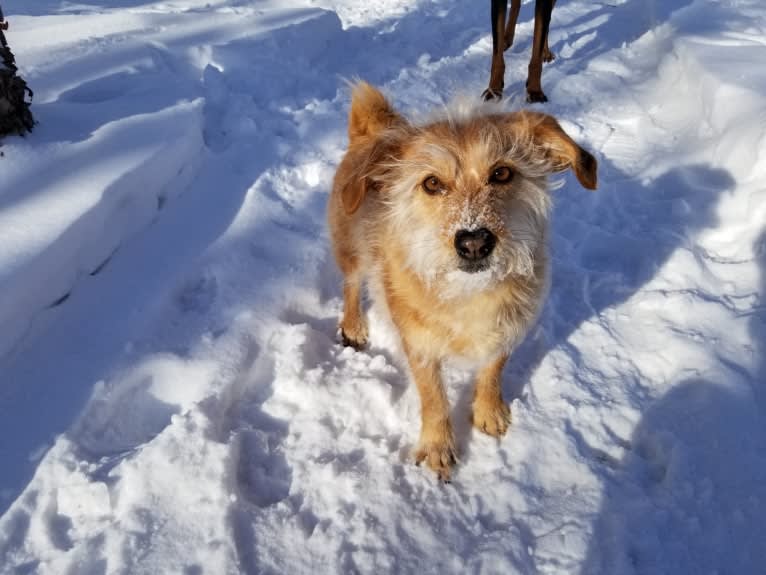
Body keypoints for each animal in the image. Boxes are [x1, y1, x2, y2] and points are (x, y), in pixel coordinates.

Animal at [328, 81, 596, 482]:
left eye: (502, 174)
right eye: (431, 183)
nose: (474, 242)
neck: (468, 293)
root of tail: (374, 128)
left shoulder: (507, 328)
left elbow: (493, 371)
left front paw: (489, 410)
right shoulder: (418, 344)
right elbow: (433, 397)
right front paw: (439, 446)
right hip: (351, 250)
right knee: (350, 284)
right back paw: (354, 325)